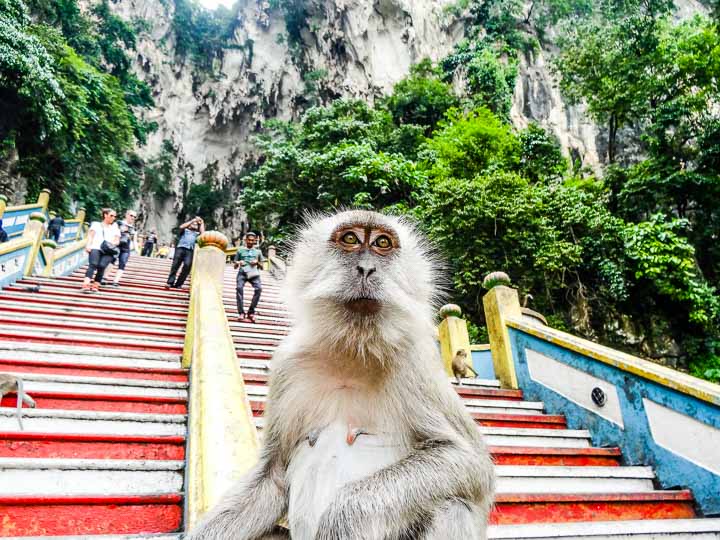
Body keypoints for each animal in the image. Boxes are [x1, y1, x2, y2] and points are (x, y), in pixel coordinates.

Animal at [186, 210, 496, 540]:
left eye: (382, 243)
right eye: (350, 239)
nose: (366, 268)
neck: (353, 350)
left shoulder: (416, 362)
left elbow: (468, 461)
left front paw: (345, 518)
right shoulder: (288, 367)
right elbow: (274, 473)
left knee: (450, 506)